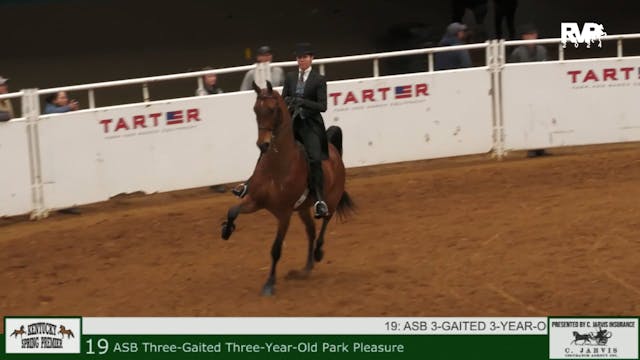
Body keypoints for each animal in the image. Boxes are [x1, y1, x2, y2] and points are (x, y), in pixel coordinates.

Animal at [222, 81, 356, 296]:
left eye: (272, 109)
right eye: (255, 109)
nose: (263, 144)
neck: (278, 167)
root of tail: (333, 150)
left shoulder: (284, 214)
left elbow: (276, 249)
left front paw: (269, 284)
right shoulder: (255, 201)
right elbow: (233, 210)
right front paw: (226, 230)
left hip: (331, 200)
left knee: (324, 223)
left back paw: (318, 253)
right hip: (302, 209)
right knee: (311, 231)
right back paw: (306, 269)